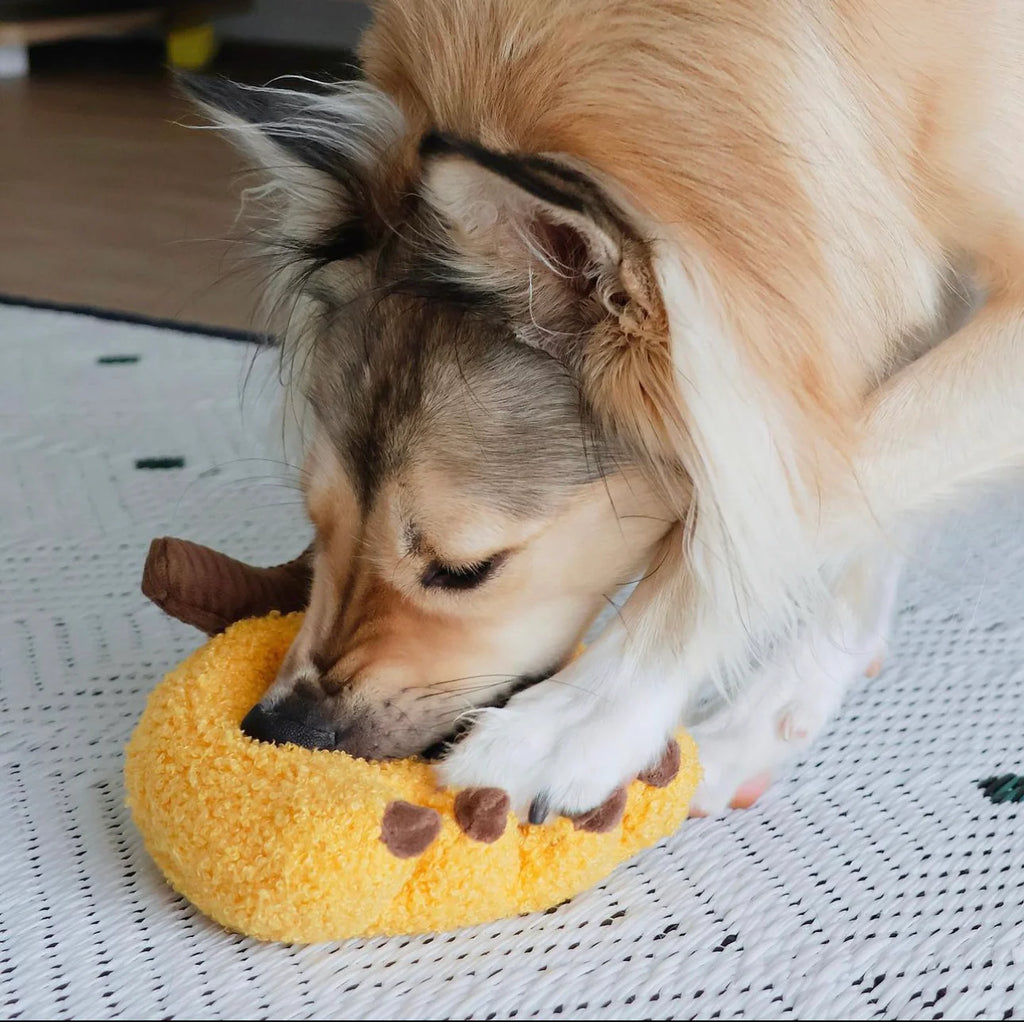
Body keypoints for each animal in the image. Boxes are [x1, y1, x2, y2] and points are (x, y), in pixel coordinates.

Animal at [184, 0, 1024, 819]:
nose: (281, 730)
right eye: (317, 521)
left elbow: (766, 521)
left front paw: (573, 724)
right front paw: (783, 707)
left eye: (465, 570)